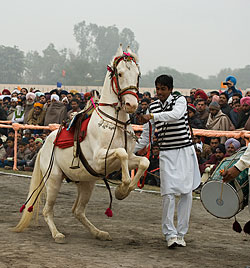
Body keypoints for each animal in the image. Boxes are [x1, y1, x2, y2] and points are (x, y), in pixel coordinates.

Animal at [13, 44, 149, 243]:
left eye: (138, 75)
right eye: (120, 73)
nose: (132, 105)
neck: (115, 123)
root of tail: (44, 145)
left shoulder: (128, 158)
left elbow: (143, 162)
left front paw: (123, 191)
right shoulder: (100, 159)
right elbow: (122, 154)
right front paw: (122, 187)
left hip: (87, 183)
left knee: (77, 211)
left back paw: (98, 232)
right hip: (54, 179)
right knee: (47, 210)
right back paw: (57, 234)